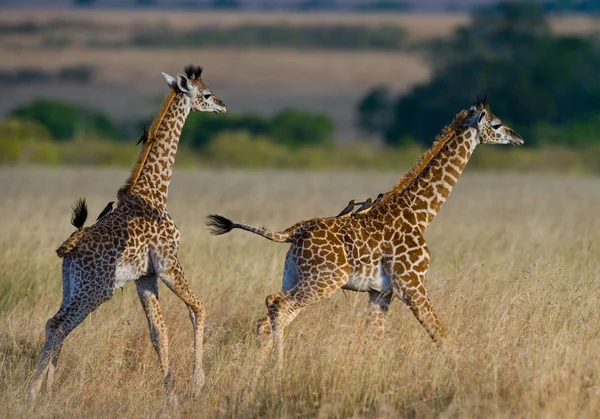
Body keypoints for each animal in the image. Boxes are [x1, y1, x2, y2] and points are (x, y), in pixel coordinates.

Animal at [27, 65, 227, 400]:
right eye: (207, 94)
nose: (223, 106)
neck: (154, 193)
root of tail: (69, 251)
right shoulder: (169, 264)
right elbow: (198, 307)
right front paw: (196, 381)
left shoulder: (145, 277)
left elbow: (158, 332)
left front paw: (169, 391)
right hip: (95, 290)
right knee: (57, 325)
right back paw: (32, 393)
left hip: (72, 287)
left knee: (56, 327)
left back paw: (49, 391)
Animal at [205, 98, 520, 368]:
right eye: (496, 124)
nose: (517, 137)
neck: (420, 215)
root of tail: (293, 232)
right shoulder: (412, 285)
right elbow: (441, 335)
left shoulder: (380, 292)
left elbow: (374, 343)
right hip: (326, 280)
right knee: (277, 305)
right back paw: (277, 370)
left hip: (294, 275)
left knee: (267, 319)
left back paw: (257, 375)